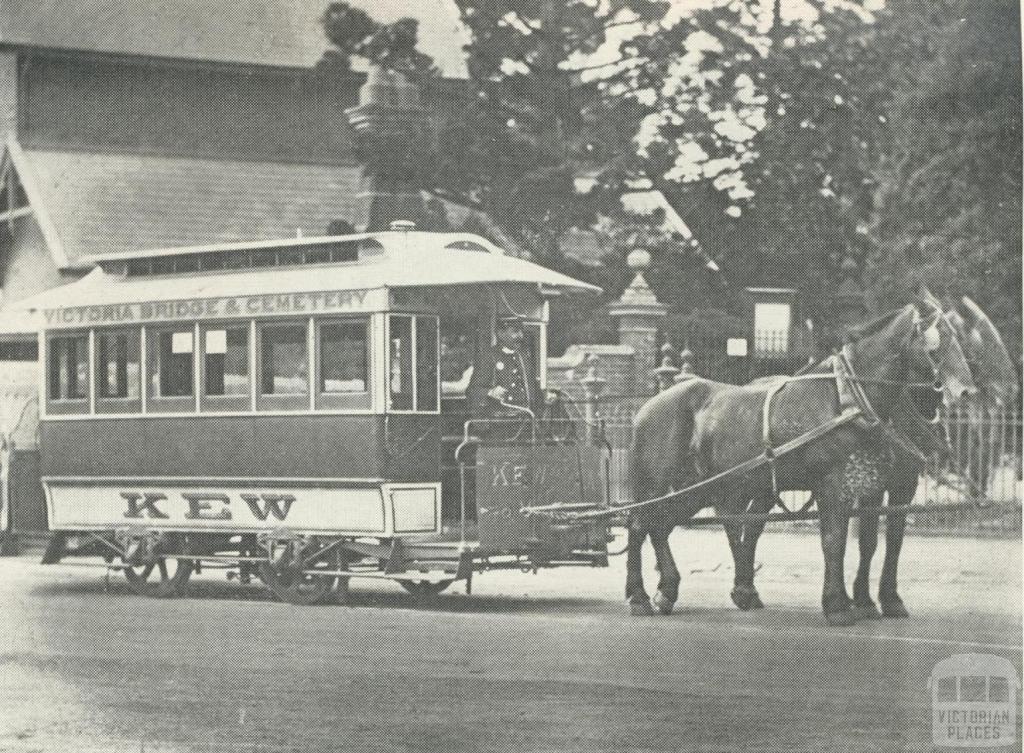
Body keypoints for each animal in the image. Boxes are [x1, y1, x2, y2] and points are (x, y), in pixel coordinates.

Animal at [622, 301, 974, 622]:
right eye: (938, 341)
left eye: (957, 337)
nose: (967, 391)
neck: (844, 396)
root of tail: (649, 405)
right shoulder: (833, 482)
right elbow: (834, 541)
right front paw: (838, 605)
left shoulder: (872, 484)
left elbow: (871, 542)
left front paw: (866, 602)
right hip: (657, 484)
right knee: (640, 524)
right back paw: (640, 596)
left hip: (697, 488)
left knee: (662, 525)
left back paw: (670, 590)